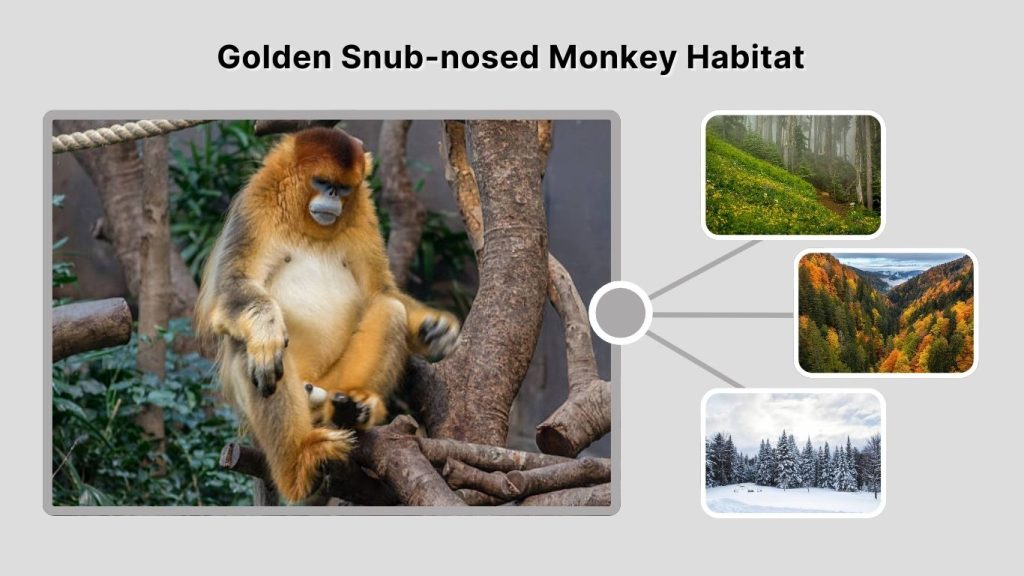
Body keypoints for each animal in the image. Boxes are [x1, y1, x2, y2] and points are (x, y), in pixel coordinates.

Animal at [195, 127, 460, 503]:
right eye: (322, 183)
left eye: (343, 188)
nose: (333, 197)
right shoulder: (254, 205)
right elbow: (233, 290)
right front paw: (264, 330)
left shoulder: (363, 212)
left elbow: (381, 292)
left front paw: (432, 328)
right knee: (250, 348)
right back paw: (298, 462)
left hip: (330, 383)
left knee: (390, 310)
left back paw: (354, 407)